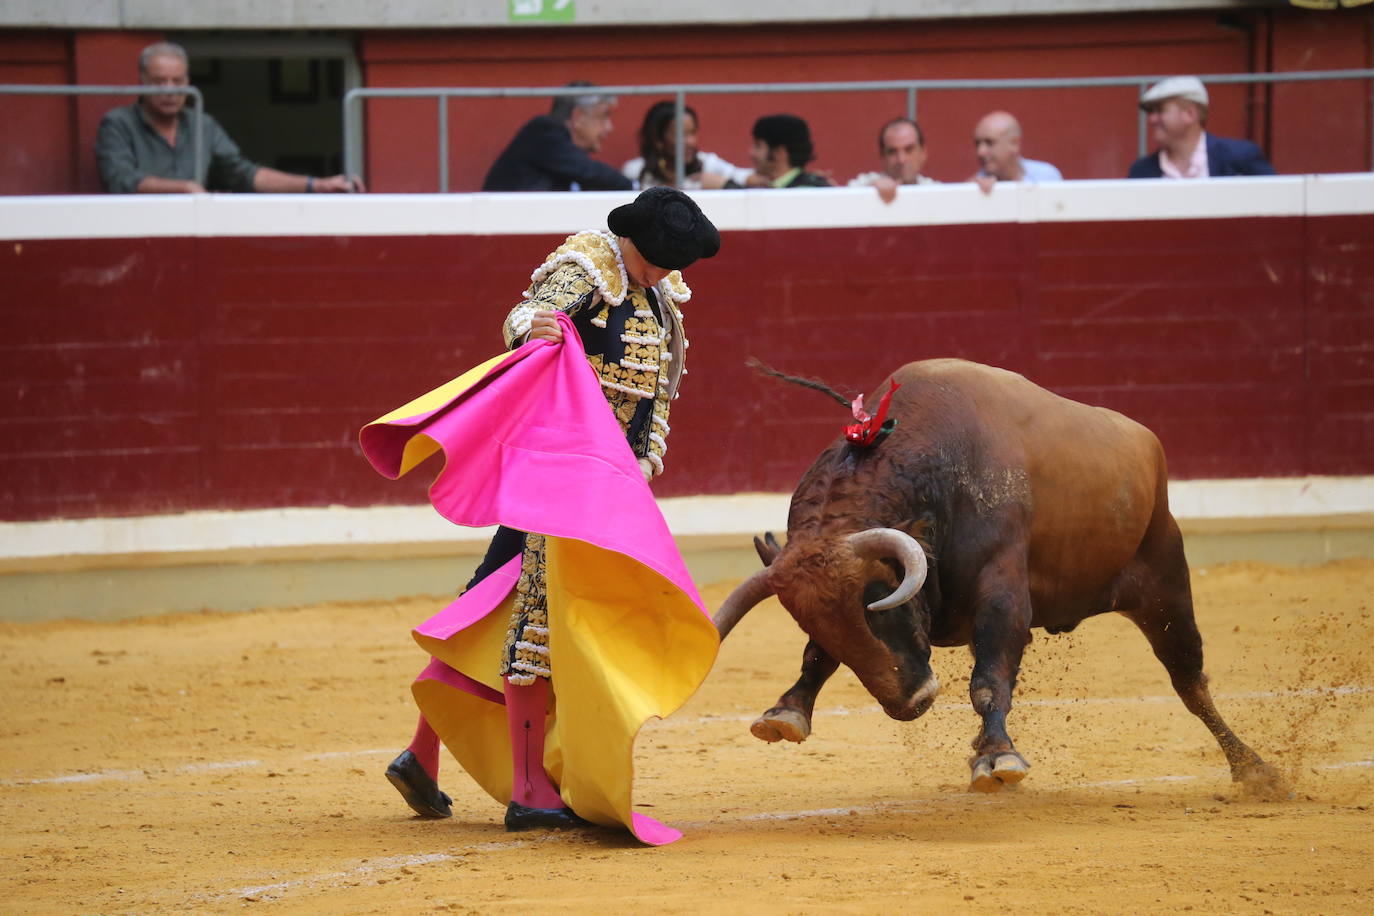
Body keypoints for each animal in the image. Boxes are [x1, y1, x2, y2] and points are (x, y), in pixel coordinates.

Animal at [719, 357, 1286, 796]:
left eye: (879, 596)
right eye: (806, 620)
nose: (913, 703)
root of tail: (1145, 440)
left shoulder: (1002, 597)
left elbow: (989, 682)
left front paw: (997, 757)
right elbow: (818, 658)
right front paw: (786, 712)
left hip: (1166, 582)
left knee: (1190, 682)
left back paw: (1255, 770)